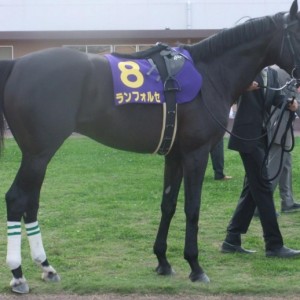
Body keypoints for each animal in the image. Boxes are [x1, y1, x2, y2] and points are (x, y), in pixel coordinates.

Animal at [0, 0, 300, 294]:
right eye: (298, 33)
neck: (211, 74)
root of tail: (17, 65)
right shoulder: (196, 154)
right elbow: (192, 208)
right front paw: (195, 266)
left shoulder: (175, 155)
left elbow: (168, 204)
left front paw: (163, 261)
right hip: (38, 154)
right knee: (16, 199)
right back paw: (18, 275)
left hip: (38, 156)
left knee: (31, 203)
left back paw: (46, 267)